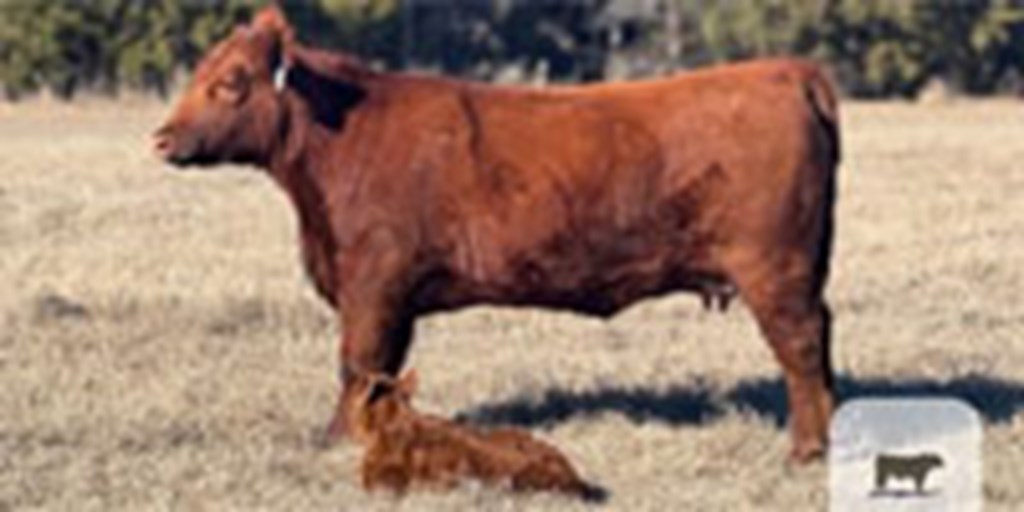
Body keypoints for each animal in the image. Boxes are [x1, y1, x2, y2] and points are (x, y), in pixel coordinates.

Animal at [151, 6, 839, 462]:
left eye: (230, 82)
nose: (161, 137)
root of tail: (788, 71)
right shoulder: (388, 294)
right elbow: (381, 369)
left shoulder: (373, 283)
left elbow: (359, 362)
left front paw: (337, 442)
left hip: (774, 270)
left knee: (801, 348)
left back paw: (807, 449)